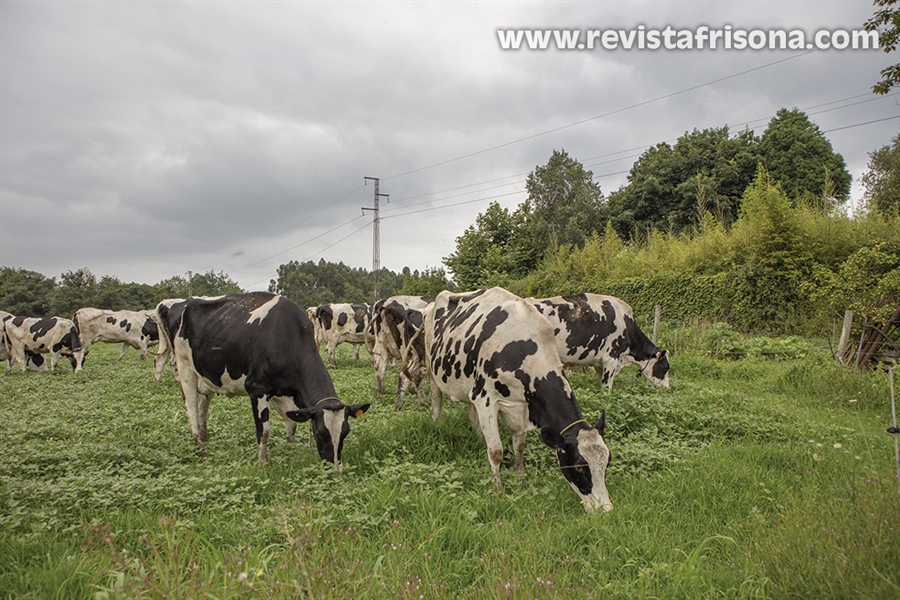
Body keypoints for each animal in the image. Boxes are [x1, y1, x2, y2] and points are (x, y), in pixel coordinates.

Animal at [155, 292, 370, 466]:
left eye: (345, 431)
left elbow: (291, 425)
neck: (286, 335)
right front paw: (262, 463)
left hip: (206, 375)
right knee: (191, 409)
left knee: (202, 406)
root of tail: (181, 302)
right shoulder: (257, 389)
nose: (334, 468)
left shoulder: (286, 392)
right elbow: (264, 431)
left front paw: (291, 450)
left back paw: (205, 436)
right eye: (319, 433)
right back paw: (201, 449)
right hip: (185, 368)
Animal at [424, 286, 612, 510]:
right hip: (432, 371)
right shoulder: (486, 399)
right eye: (579, 467)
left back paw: (479, 438)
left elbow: (519, 447)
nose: (606, 509)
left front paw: (520, 477)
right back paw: (436, 425)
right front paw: (498, 489)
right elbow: (496, 451)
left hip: (468, 385)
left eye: (607, 462)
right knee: (436, 403)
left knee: (470, 411)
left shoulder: (523, 406)